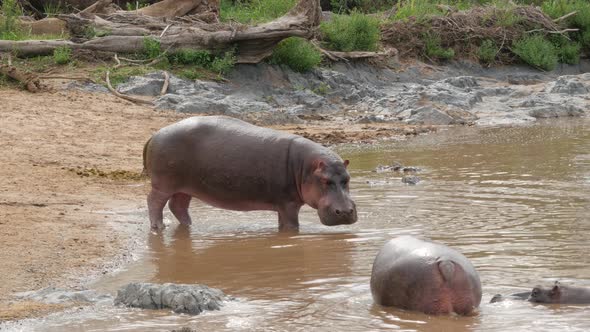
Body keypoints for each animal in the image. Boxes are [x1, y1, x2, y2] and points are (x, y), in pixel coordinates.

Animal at [143, 115, 358, 232]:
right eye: (325, 180)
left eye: (347, 179)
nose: (346, 212)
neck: (305, 168)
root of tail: (154, 134)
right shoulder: (288, 204)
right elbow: (292, 227)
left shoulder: (283, 205)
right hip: (163, 184)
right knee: (154, 201)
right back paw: (158, 227)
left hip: (185, 187)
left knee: (177, 206)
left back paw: (189, 226)